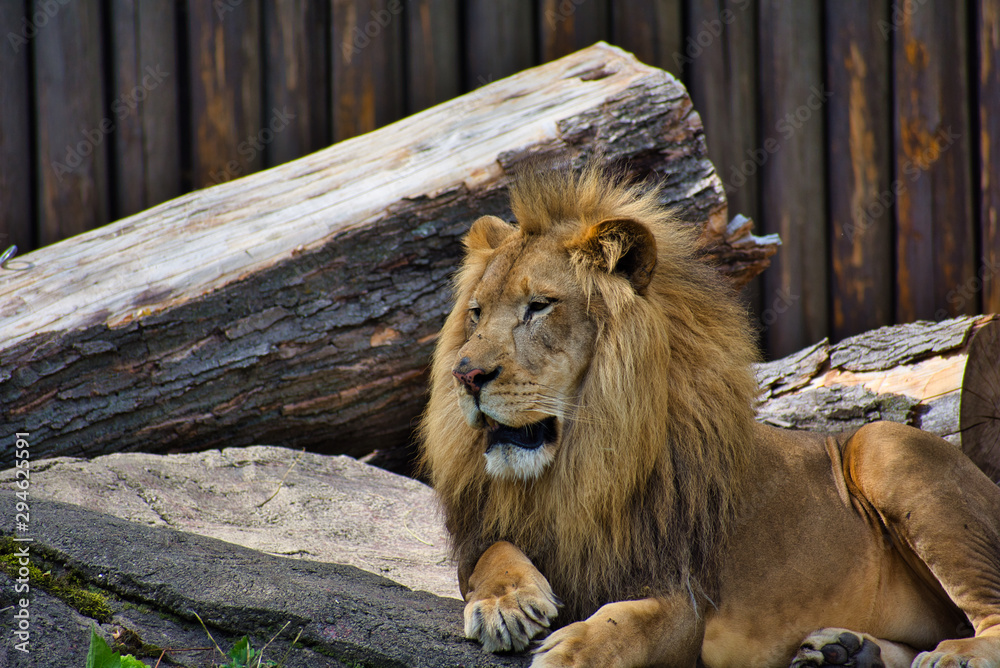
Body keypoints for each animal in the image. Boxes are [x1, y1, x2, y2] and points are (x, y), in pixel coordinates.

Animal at [418, 164, 1000, 668]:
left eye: (539, 306)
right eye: (476, 314)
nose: (466, 375)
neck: (573, 467)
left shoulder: (683, 596)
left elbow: (628, 625)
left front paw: (571, 651)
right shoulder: (491, 534)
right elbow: (490, 554)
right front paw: (505, 604)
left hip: (887, 446)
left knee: (986, 615)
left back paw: (950, 654)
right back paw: (845, 651)